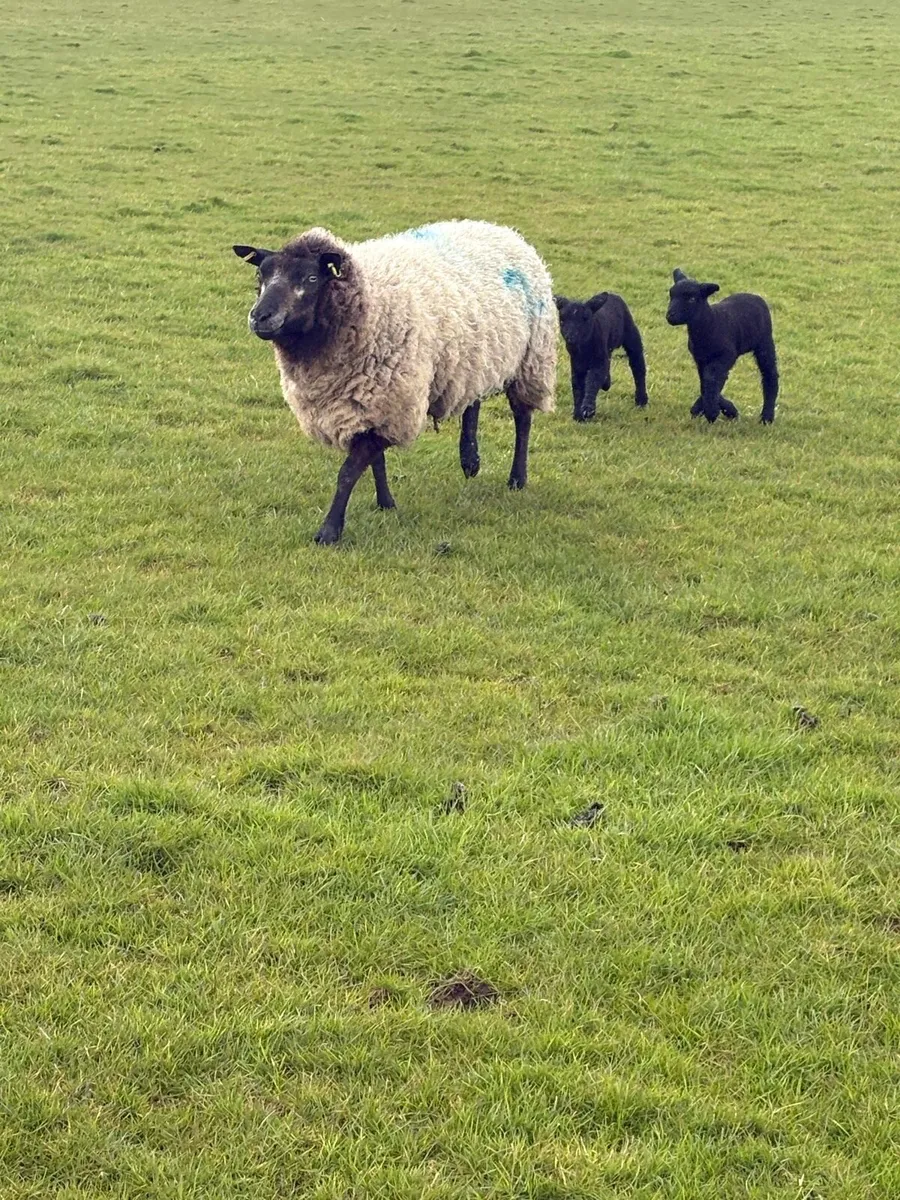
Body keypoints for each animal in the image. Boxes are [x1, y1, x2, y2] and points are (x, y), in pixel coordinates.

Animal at [232, 220, 557, 544]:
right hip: (472, 358)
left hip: (531, 359)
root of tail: (499, 228)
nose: (260, 317)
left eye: (311, 278)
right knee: (471, 400)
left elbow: (348, 472)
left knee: (522, 419)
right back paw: (470, 459)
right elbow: (375, 461)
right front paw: (385, 503)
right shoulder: (369, 404)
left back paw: (517, 478)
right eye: (261, 276)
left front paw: (329, 531)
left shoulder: (392, 403)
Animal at [554, 292, 648, 420]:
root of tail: (613, 294)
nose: (570, 338)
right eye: (561, 320)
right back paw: (607, 383)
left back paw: (641, 400)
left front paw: (587, 409)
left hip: (631, 334)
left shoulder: (598, 359)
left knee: (638, 365)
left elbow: (593, 380)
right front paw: (578, 414)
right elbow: (577, 385)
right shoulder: (576, 362)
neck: (584, 347)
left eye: (585, 319)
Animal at [666, 268, 779, 424]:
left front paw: (711, 411)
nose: (670, 316)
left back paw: (767, 417)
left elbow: (711, 380)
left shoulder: (726, 356)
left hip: (764, 343)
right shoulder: (701, 359)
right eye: (671, 295)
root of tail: (755, 296)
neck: (711, 323)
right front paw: (727, 410)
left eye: (692, 299)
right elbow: (705, 382)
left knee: (770, 375)